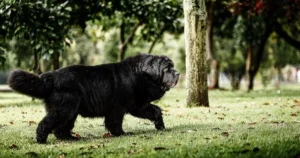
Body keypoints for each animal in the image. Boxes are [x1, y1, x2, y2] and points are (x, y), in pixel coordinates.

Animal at [8, 53, 179, 144]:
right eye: (167, 69)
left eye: (172, 67)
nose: (177, 73)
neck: (140, 74)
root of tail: (51, 76)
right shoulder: (117, 108)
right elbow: (115, 122)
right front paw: (121, 133)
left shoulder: (137, 104)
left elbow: (154, 110)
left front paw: (160, 125)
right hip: (65, 108)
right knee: (47, 123)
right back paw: (41, 139)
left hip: (71, 110)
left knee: (61, 128)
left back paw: (70, 138)